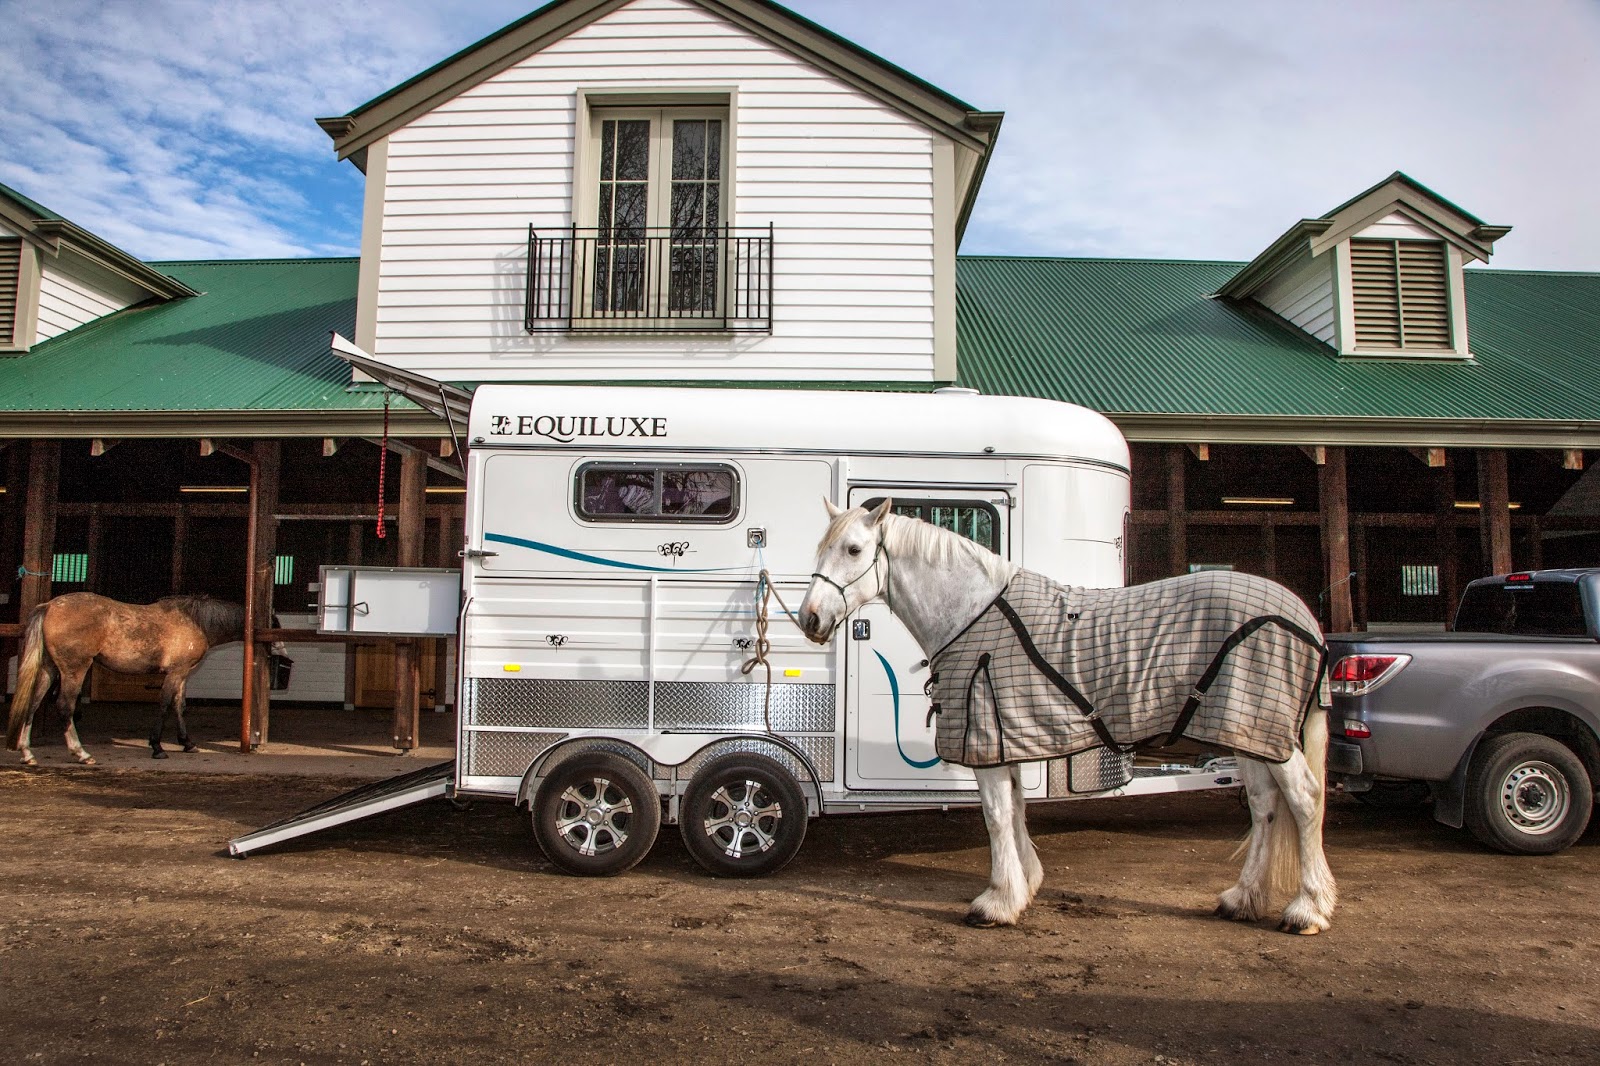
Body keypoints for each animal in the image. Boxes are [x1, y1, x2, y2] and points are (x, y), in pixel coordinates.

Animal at [7, 593, 260, 765]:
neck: (195, 621)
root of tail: (49, 606)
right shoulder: (176, 672)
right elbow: (165, 705)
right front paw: (157, 746)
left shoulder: (182, 673)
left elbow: (179, 706)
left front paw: (187, 743)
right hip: (74, 669)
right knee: (65, 707)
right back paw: (81, 753)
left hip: (49, 669)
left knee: (33, 703)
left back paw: (27, 753)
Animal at [798, 499, 1337, 935]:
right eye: (820, 548)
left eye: (853, 549)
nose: (810, 619)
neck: (973, 615)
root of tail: (1304, 617)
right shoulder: (1006, 738)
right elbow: (1016, 808)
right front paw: (1024, 886)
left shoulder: (986, 740)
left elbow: (996, 816)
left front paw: (996, 903)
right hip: (1247, 732)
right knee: (1265, 807)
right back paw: (1241, 900)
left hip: (1266, 734)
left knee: (1305, 800)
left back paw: (1307, 910)